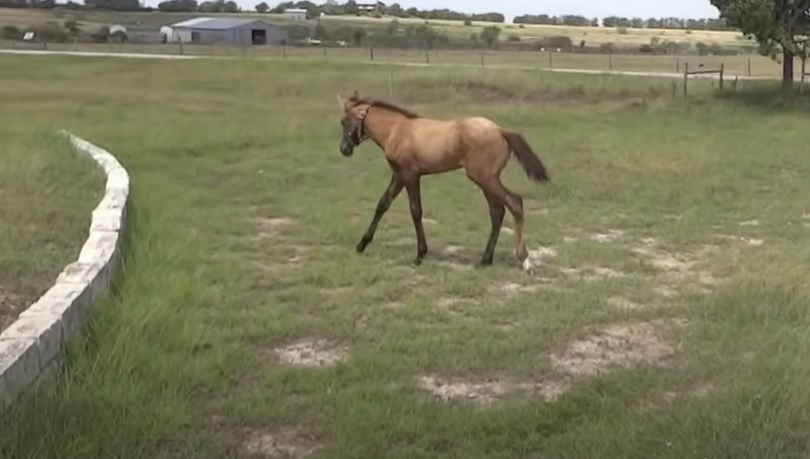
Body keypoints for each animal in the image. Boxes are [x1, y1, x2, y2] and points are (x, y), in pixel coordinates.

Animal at [334, 91, 548, 274]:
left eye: (344, 122)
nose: (344, 149)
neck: (396, 130)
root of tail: (501, 131)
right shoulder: (399, 175)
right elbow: (383, 204)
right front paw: (361, 244)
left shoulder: (410, 174)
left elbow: (415, 210)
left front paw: (420, 255)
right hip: (487, 179)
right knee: (497, 212)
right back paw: (485, 260)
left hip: (484, 178)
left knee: (515, 203)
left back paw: (524, 261)